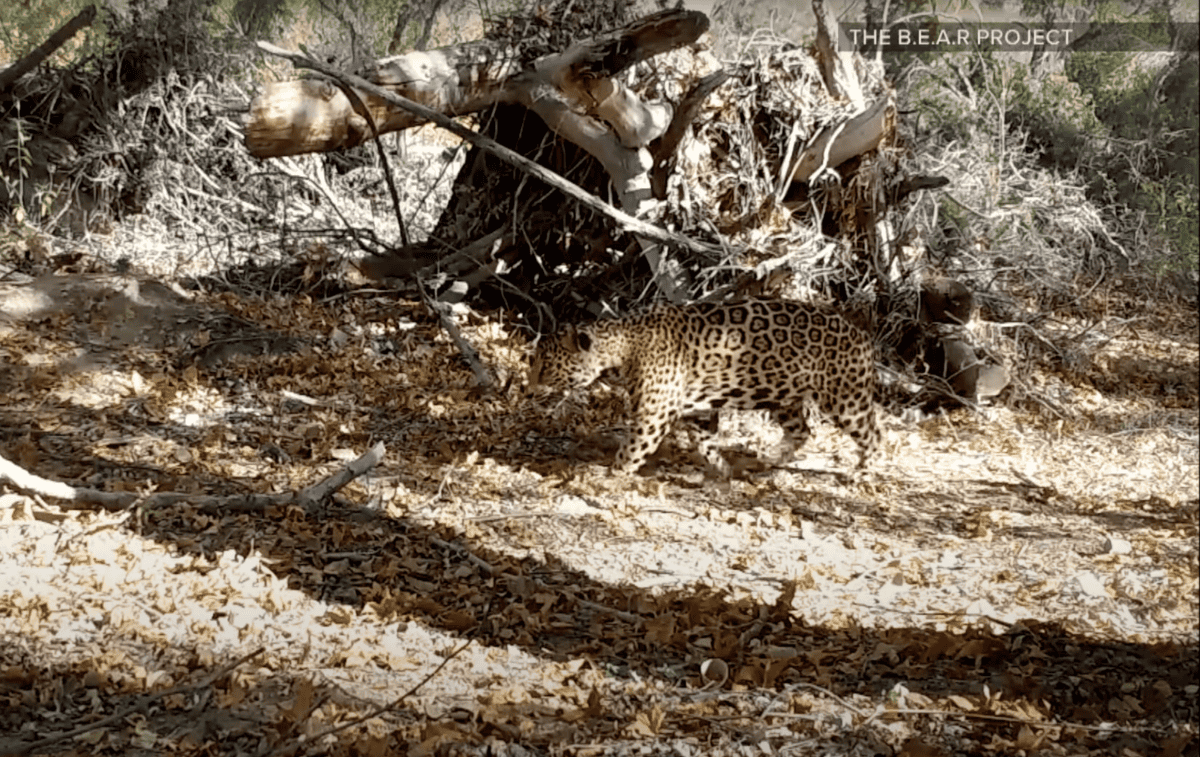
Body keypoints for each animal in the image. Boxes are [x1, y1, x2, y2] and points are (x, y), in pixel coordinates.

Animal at [528, 298, 881, 475]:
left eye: (544, 367)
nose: (528, 390)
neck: (622, 350)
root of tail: (862, 334)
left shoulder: (654, 415)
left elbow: (633, 448)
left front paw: (611, 475)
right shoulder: (696, 411)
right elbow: (705, 444)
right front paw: (722, 470)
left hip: (845, 398)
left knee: (873, 434)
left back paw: (862, 474)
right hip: (782, 396)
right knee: (803, 431)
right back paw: (767, 461)